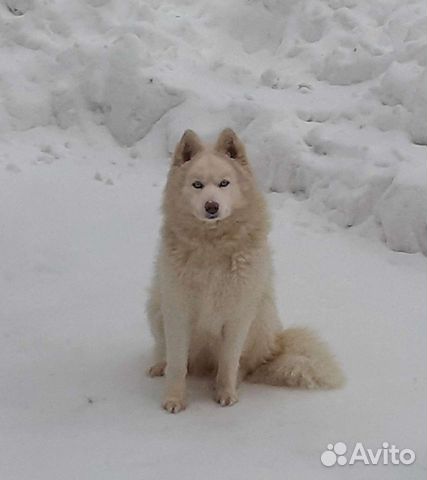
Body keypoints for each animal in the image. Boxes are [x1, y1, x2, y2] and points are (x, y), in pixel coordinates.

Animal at [146, 127, 344, 412]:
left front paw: (225, 394)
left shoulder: (237, 316)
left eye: (224, 183)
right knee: (167, 352)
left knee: (243, 365)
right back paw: (159, 365)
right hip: (155, 306)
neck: (212, 245)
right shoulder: (177, 311)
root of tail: (276, 345)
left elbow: (229, 362)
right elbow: (177, 364)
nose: (211, 206)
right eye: (197, 185)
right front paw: (174, 399)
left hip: (259, 317)